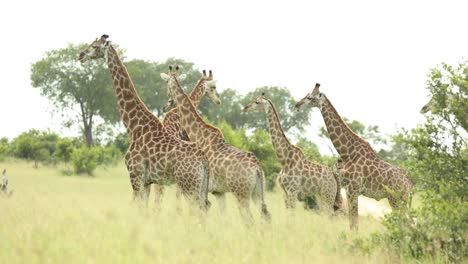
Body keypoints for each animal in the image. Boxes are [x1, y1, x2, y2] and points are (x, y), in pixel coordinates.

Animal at [77, 34, 209, 209]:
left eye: (94, 45)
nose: (80, 55)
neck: (134, 126)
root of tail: (204, 161)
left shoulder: (135, 175)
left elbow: (139, 207)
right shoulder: (147, 181)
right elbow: (145, 208)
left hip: (189, 184)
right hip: (200, 186)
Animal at [161, 69, 270, 222]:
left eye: (167, 84)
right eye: (213, 87)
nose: (168, 102)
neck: (200, 135)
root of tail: (257, 168)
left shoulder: (204, 189)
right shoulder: (218, 192)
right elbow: (223, 217)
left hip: (241, 193)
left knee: (249, 219)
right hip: (257, 192)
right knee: (266, 216)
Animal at [296, 83, 414, 230]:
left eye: (310, 97)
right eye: (307, 95)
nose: (296, 105)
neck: (348, 152)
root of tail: (409, 183)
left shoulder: (352, 189)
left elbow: (354, 223)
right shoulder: (350, 190)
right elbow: (352, 222)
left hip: (395, 198)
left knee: (405, 224)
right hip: (403, 200)